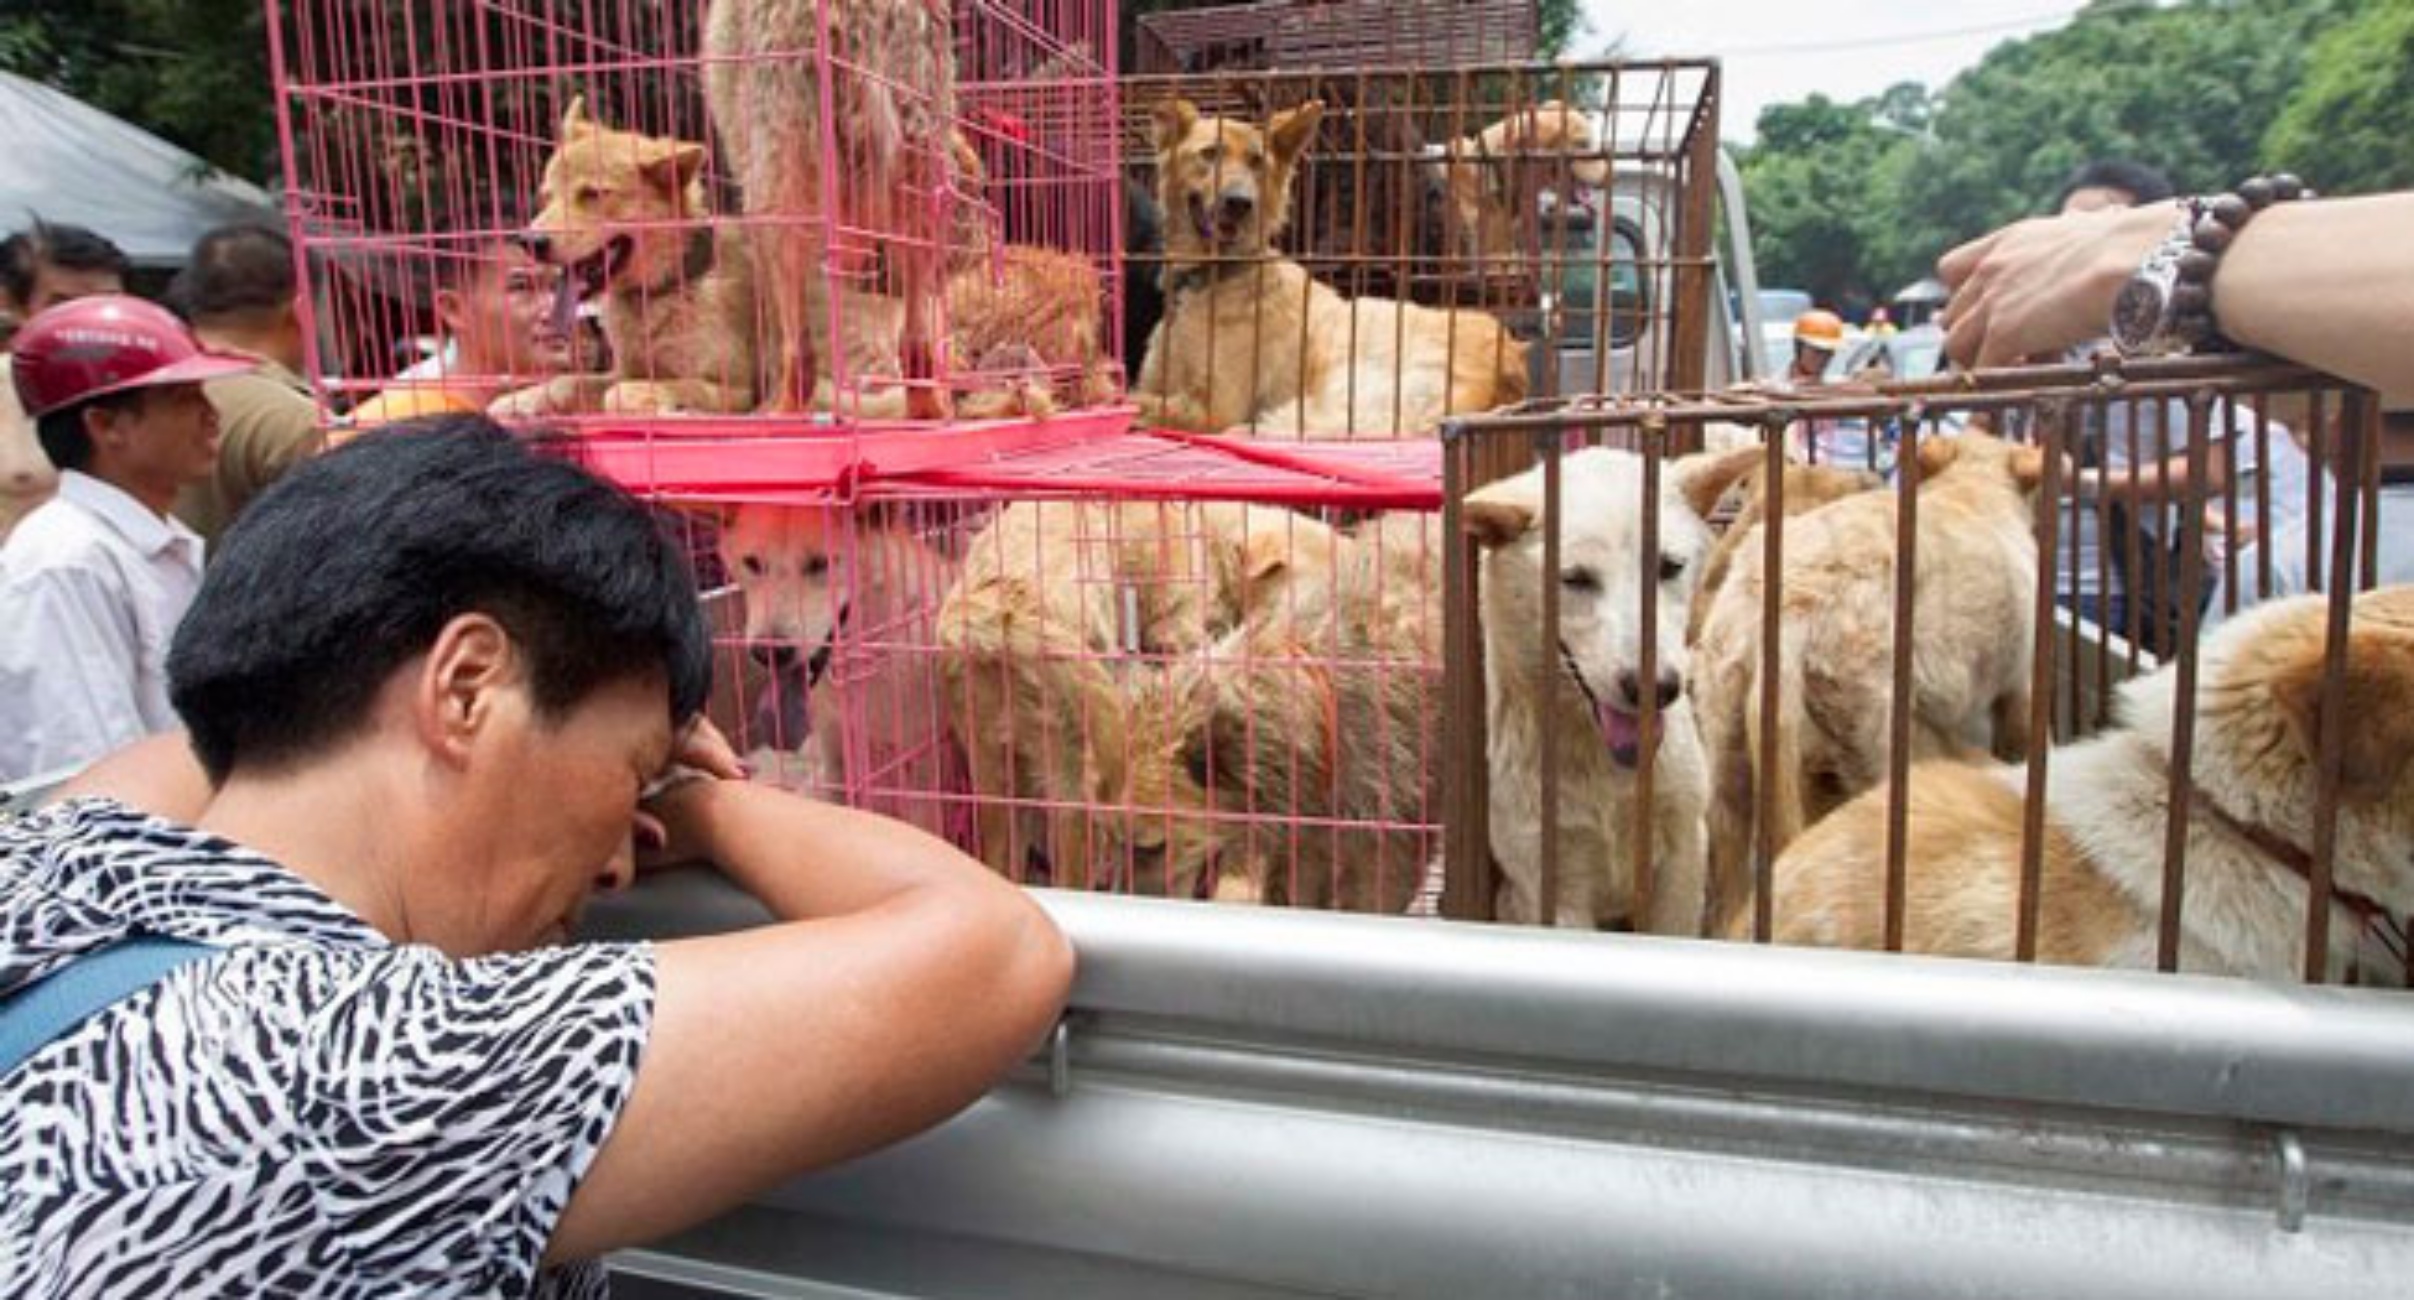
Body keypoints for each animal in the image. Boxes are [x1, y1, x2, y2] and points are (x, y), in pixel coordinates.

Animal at [1448, 448, 1738, 935]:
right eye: (1576, 578)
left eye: (1668, 567)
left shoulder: (1683, 857)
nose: (1657, 688)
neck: (1604, 769)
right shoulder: (1552, 886)